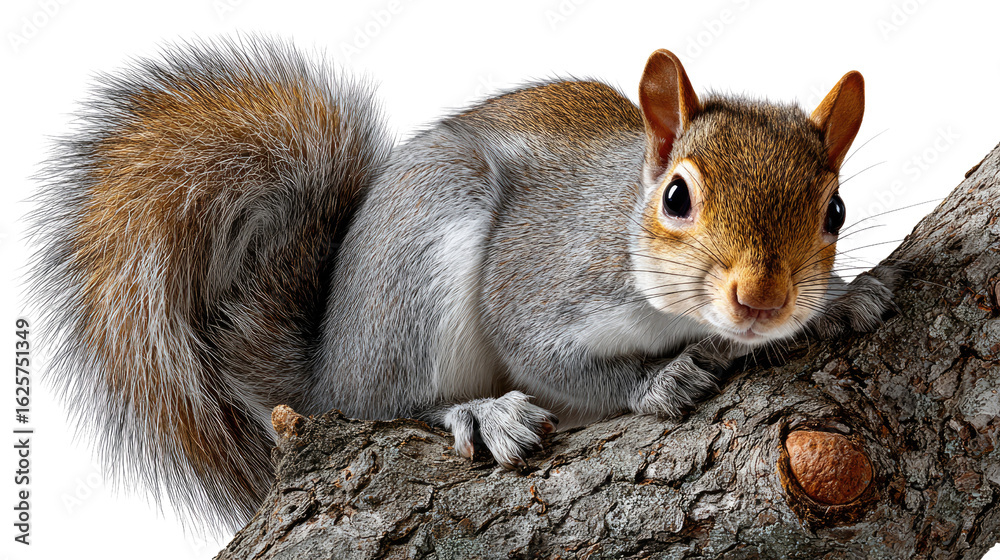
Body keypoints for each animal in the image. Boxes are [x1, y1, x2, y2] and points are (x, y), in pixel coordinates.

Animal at [29, 37, 894, 529]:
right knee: (386, 403)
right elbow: (548, 357)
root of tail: (326, 362)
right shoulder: (543, 281)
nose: (762, 301)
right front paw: (657, 380)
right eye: (677, 197)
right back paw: (478, 412)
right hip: (425, 257)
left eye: (836, 211)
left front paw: (845, 298)